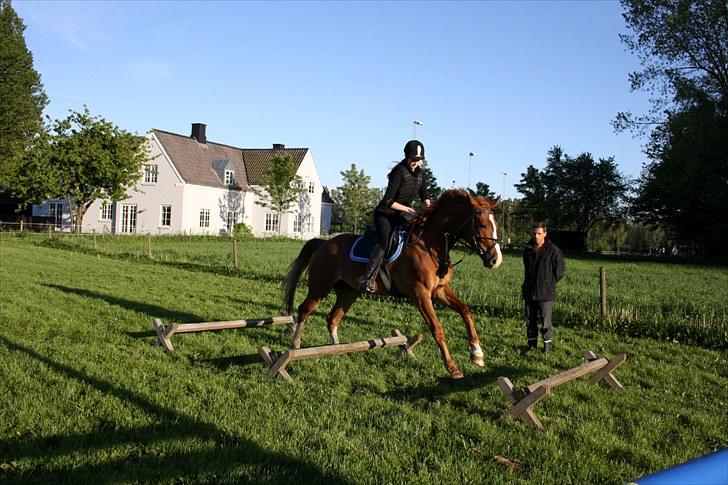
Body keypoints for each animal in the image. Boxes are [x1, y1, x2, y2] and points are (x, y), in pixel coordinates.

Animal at [282, 188, 504, 378]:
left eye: (496, 224)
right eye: (482, 225)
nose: (495, 260)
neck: (430, 245)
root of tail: (324, 243)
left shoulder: (439, 290)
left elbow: (466, 311)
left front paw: (477, 354)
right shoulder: (421, 294)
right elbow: (437, 329)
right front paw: (453, 368)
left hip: (349, 291)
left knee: (333, 318)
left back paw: (338, 350)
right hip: (320, 286)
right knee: (305, 310)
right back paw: (296, 344)